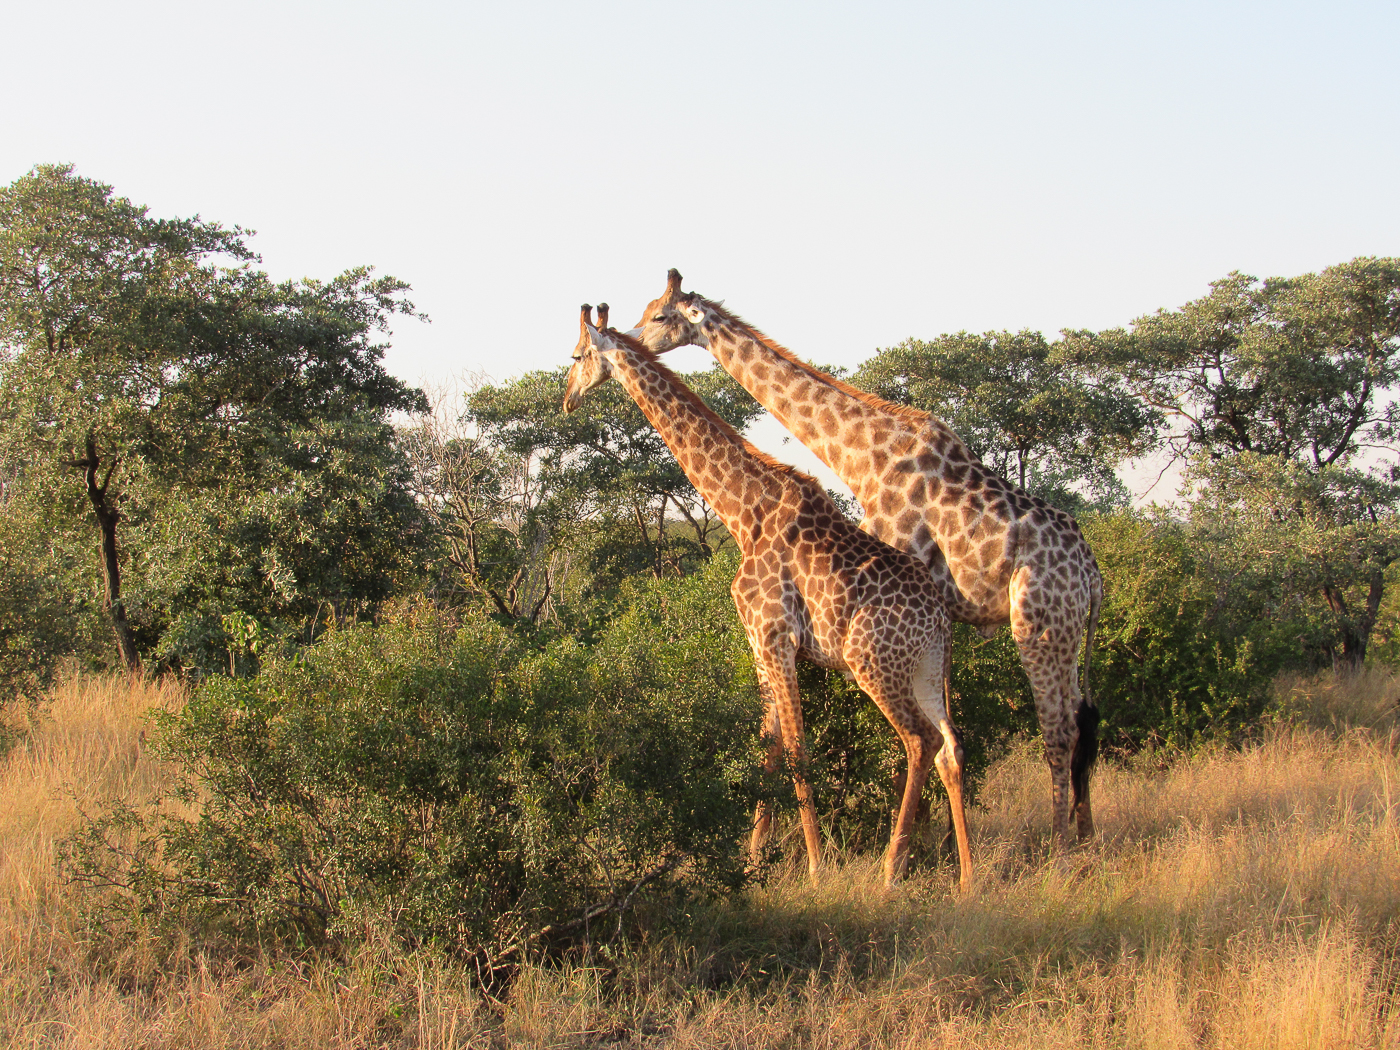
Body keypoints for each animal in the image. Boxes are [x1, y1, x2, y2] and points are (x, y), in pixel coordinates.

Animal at [562, 302, 968, 890]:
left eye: (575, 356)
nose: (566, 398)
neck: (741, 510)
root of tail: (938, 617)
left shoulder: (777, 636)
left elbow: (798, 749)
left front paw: (818, 868)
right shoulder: (758, 642)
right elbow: (768, 746)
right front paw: (754, 858)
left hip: (872, 662)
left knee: (919, 741)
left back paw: (892, 869)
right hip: (928, 668)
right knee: (952, 746)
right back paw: (968, 875)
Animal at [635, 267, 1103, 851]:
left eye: (658, 315)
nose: (633, 338)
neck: (862, 453)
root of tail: (1093, 575)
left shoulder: (901, 573)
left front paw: (914, 843)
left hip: (1039, 626)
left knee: (1058, 730)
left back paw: (1059, 847)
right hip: (1068, 636)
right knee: (1084, 722)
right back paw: (1086, 835)